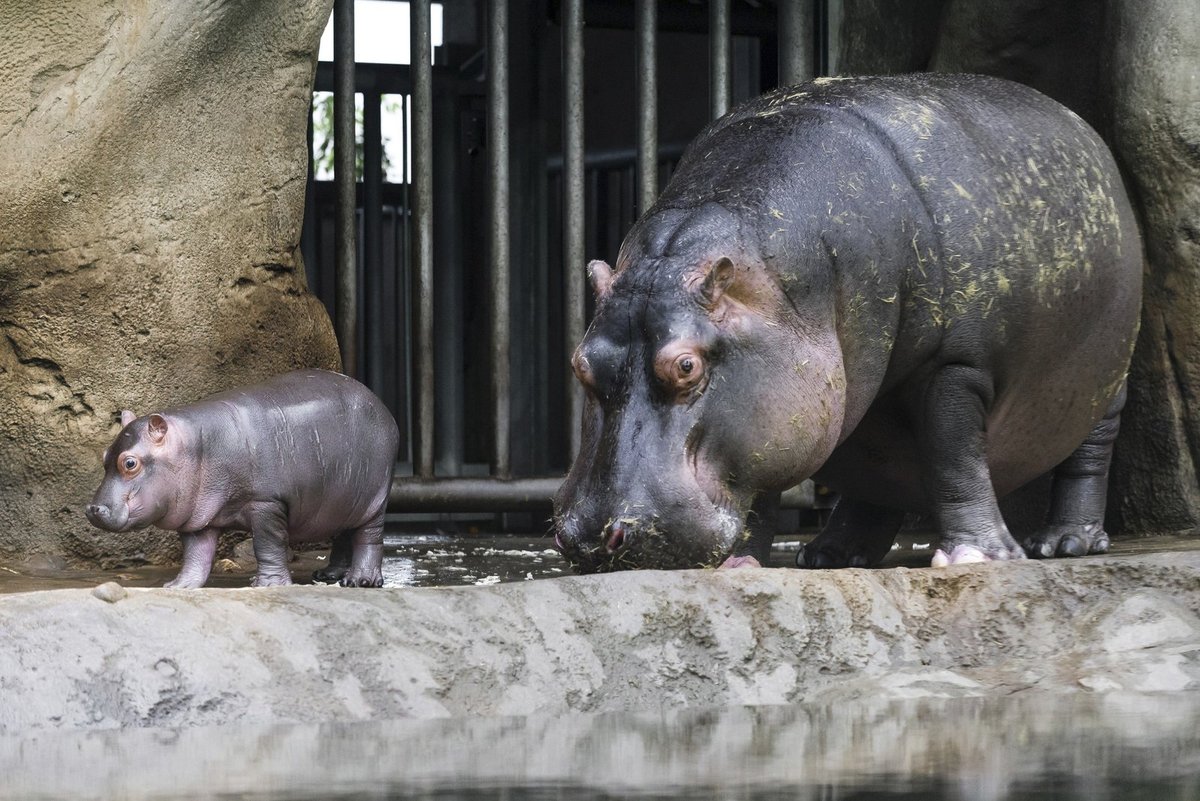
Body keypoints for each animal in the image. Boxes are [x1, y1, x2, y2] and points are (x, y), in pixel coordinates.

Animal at [87, 369, 403, 587]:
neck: (197, 446)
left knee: (368, 537)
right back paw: (328, 575)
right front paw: (178, 586)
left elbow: (267, 544)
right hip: (341, 499)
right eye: (104, 455)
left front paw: (267, 585)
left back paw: (360, 581)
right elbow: (196, 554)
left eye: (130, 463)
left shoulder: (267, 503)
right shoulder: (198, 516)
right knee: (343, 535)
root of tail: (382, 407)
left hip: (374, 499)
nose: (93, 509)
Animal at [552, 73, 1132, 568]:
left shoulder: (955, 365)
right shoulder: (777, 401)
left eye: (686, 366)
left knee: (1089, 453)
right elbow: (762, 482)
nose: (590, 539)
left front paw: (976, 558)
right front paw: (744, 564)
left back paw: (1066, 542)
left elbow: (954, 456)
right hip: (862, 404)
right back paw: (832, 554)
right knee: (879, 470)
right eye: (580, 363)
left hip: (1107, 380)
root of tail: (1081, 125)